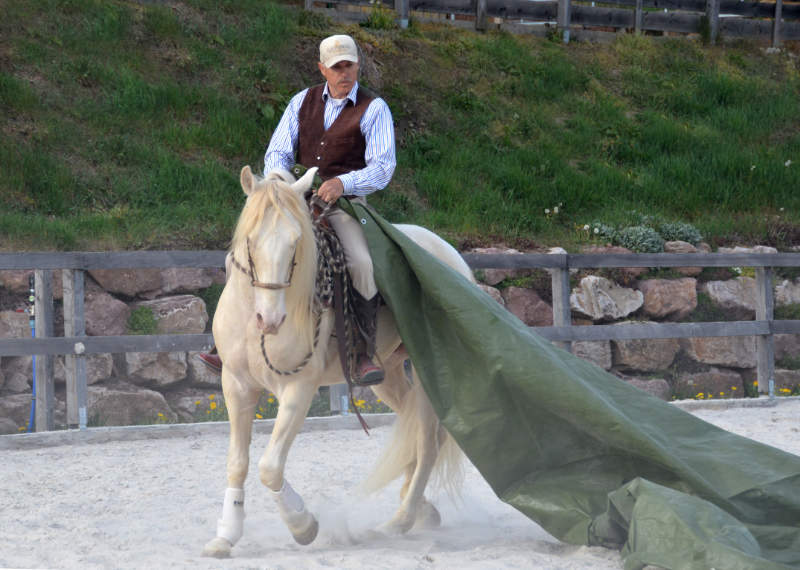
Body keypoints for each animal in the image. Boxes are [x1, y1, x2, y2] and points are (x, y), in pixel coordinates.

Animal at [203, 164, 472, 556]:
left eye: (294, 242)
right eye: (250, 240)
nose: (271, 320)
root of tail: (453, 257)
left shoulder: (298, 390)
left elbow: (270, 467)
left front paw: (303, 526)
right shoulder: (236, 386)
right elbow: (237, 463)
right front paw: (226, 535)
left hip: (427, 376)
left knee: (426, 443)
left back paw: (400, 521)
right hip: (389, 376)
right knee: (416, 433)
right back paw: (420, 508)